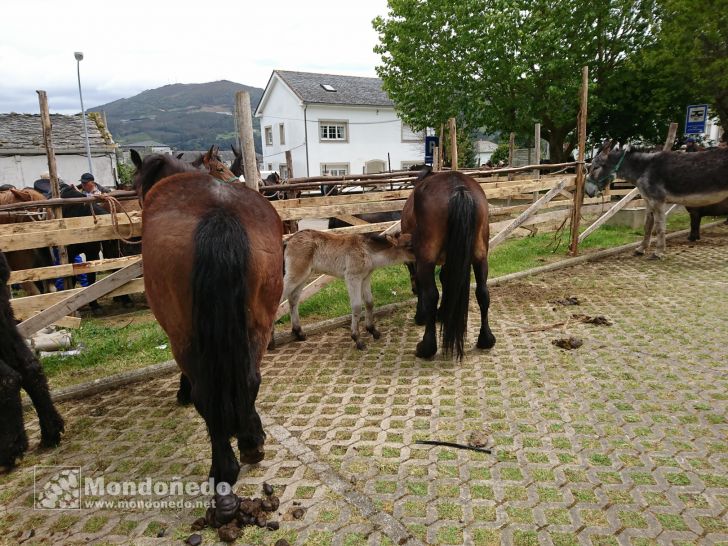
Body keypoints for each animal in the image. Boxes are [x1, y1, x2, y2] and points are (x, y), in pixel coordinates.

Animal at [400, 167, 498, 362]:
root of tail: (458, 187)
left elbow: (425, 286)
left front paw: (421, 315)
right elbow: (447, 279)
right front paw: (444, 313)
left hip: (426, 258)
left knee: (431, 295)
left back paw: (426, 347)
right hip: (480, 256)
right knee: (483, 292)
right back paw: (486, 339)